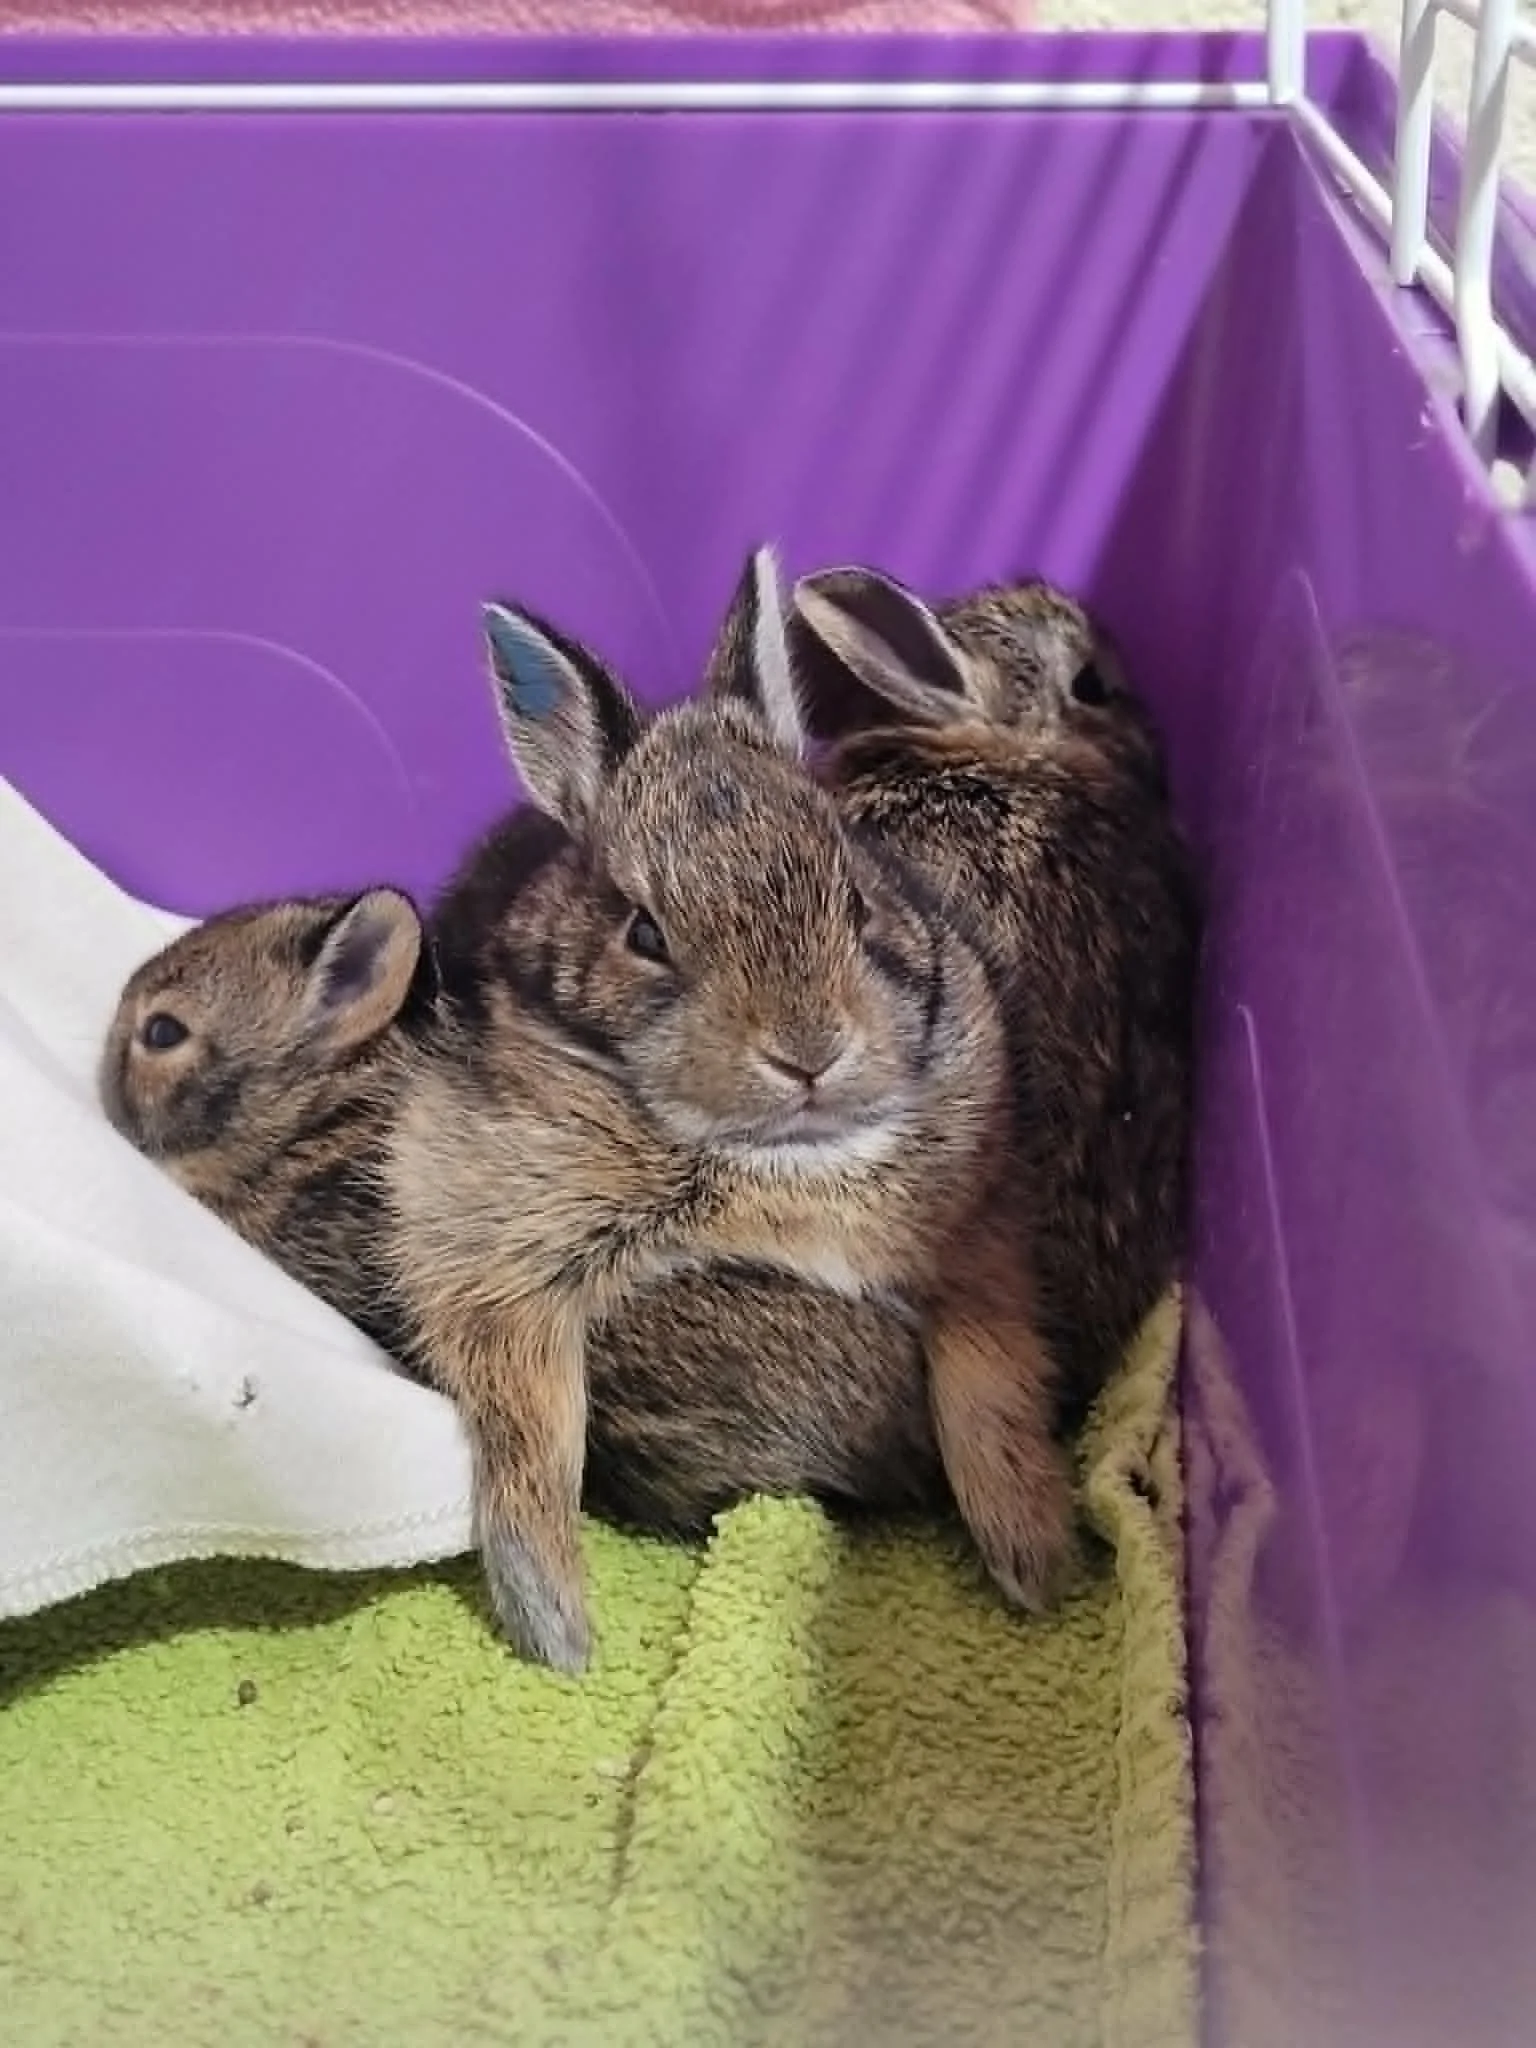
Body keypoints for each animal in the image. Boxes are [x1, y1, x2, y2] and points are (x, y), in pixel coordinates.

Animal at [385, 547, 1076, 1671]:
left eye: (856, 897)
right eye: (644, 933)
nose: (809, 1050)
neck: (785, 1154)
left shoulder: (979, 1246)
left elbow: (990, 1375)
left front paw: (1032, 1555)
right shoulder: (489, 1242)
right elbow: (528, 1423)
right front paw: (556, 1629)